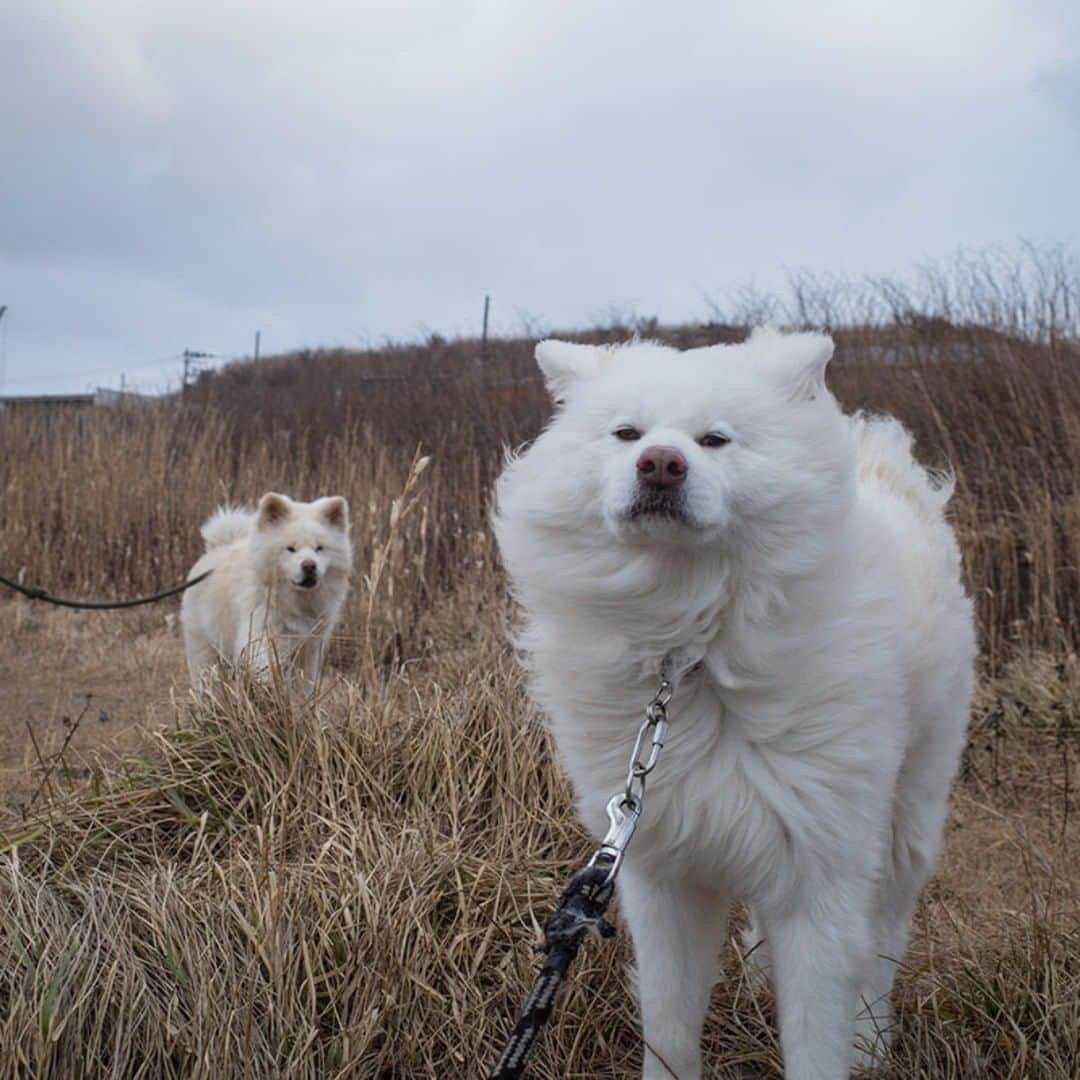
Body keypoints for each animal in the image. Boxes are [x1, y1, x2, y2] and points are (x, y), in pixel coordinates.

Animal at [179, 494, 352, 695]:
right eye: (290, 549)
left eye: (319, 548)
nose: (309, 565)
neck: (295, 603)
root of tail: (217, 547)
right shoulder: (259, 634)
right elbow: (264, 667)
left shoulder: (309, 648)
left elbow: (301, 686)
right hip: (205, 652)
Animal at [496, 330, 980, 1080]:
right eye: (627, 434)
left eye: (714, 440)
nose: (661, 464)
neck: (690, 654)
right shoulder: (662, 875)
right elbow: (668, 1027)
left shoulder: (821, 875)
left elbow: (815, 1036)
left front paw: (842, 1044)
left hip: (910, 817)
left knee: (884, 940)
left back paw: (872, 1040)